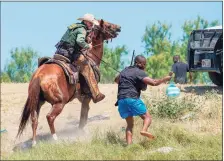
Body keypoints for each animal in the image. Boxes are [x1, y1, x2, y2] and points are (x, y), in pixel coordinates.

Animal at [16, 19, 121, 147]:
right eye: (108, 25)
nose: (119, 27)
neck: (90, 56)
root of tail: (38, 77)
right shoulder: (87, 97)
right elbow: (83, 115)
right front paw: (81, 131)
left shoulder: (81, 97)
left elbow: (84, 113)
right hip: (59, 103)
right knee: (50, 117)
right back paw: (55, 138)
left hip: (37, 102)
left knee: (34, 119)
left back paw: (34, 143)